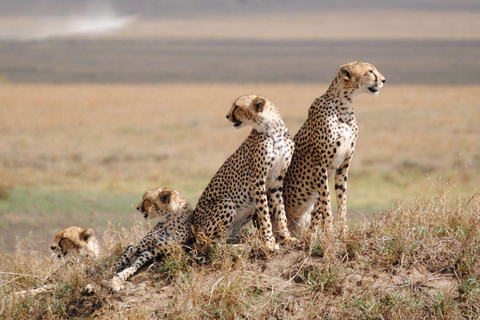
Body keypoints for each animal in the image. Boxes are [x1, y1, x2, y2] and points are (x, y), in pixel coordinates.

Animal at [193, 94, 294, 250]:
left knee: (221, 241)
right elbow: (265, 214)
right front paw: (270, 242)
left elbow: (280, 211)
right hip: (227, 203)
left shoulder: (277, 181)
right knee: (208, 244)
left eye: (237, 107)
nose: (227, 116)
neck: (272, 130)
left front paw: (286, 238)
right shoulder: (257, 180)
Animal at [284, 61, 386, 238]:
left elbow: (339, 201)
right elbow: (326, 201)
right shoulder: (320, 165)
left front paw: (340, 232)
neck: (344, 106)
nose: (383, 80)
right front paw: (329, 231)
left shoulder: (343, 166)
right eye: (370, 71)